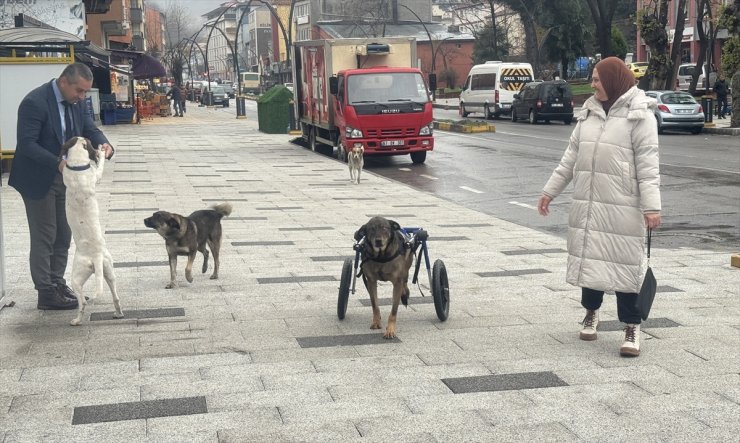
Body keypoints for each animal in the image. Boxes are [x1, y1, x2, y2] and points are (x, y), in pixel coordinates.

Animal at [60, 137, 123, 328]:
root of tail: (95, 255)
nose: (99, 147)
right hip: (107, 271)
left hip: (80, 277)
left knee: (86, 302)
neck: (77, 165)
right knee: (113, 297)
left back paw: (78, 320)